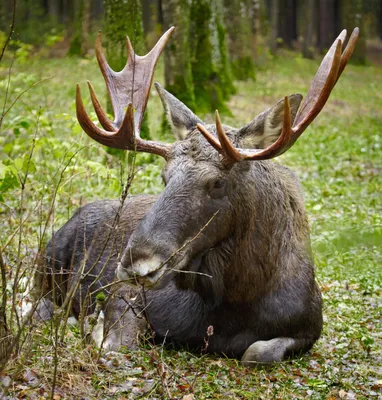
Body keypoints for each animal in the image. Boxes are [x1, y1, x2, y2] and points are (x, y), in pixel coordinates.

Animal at [38, 26, 358, 366]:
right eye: (164, 176)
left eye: (218, 183)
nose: (136, 264)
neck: (238, 303)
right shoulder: (125, 294)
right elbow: (116, 342)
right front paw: (95, 326)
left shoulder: (309, 327)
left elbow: (257, 352)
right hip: (49, 257)